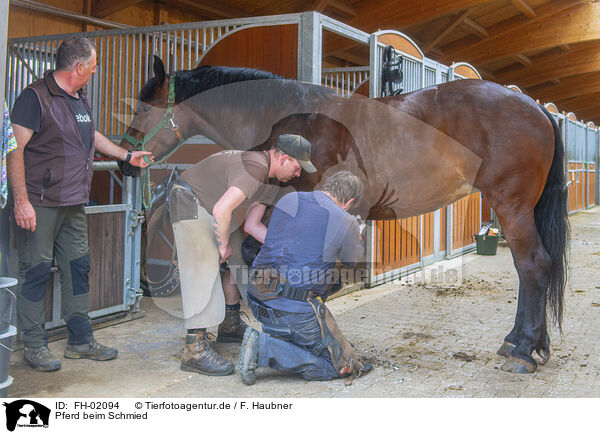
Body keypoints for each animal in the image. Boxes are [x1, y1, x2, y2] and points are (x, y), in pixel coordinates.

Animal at [120, 56, 568, 374]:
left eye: (141, 108)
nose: (126, 163)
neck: (290, 117)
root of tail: (533, 106)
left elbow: (261, 257)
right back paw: (523, 344)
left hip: (512, 207)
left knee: (533, 266)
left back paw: (523, 350)